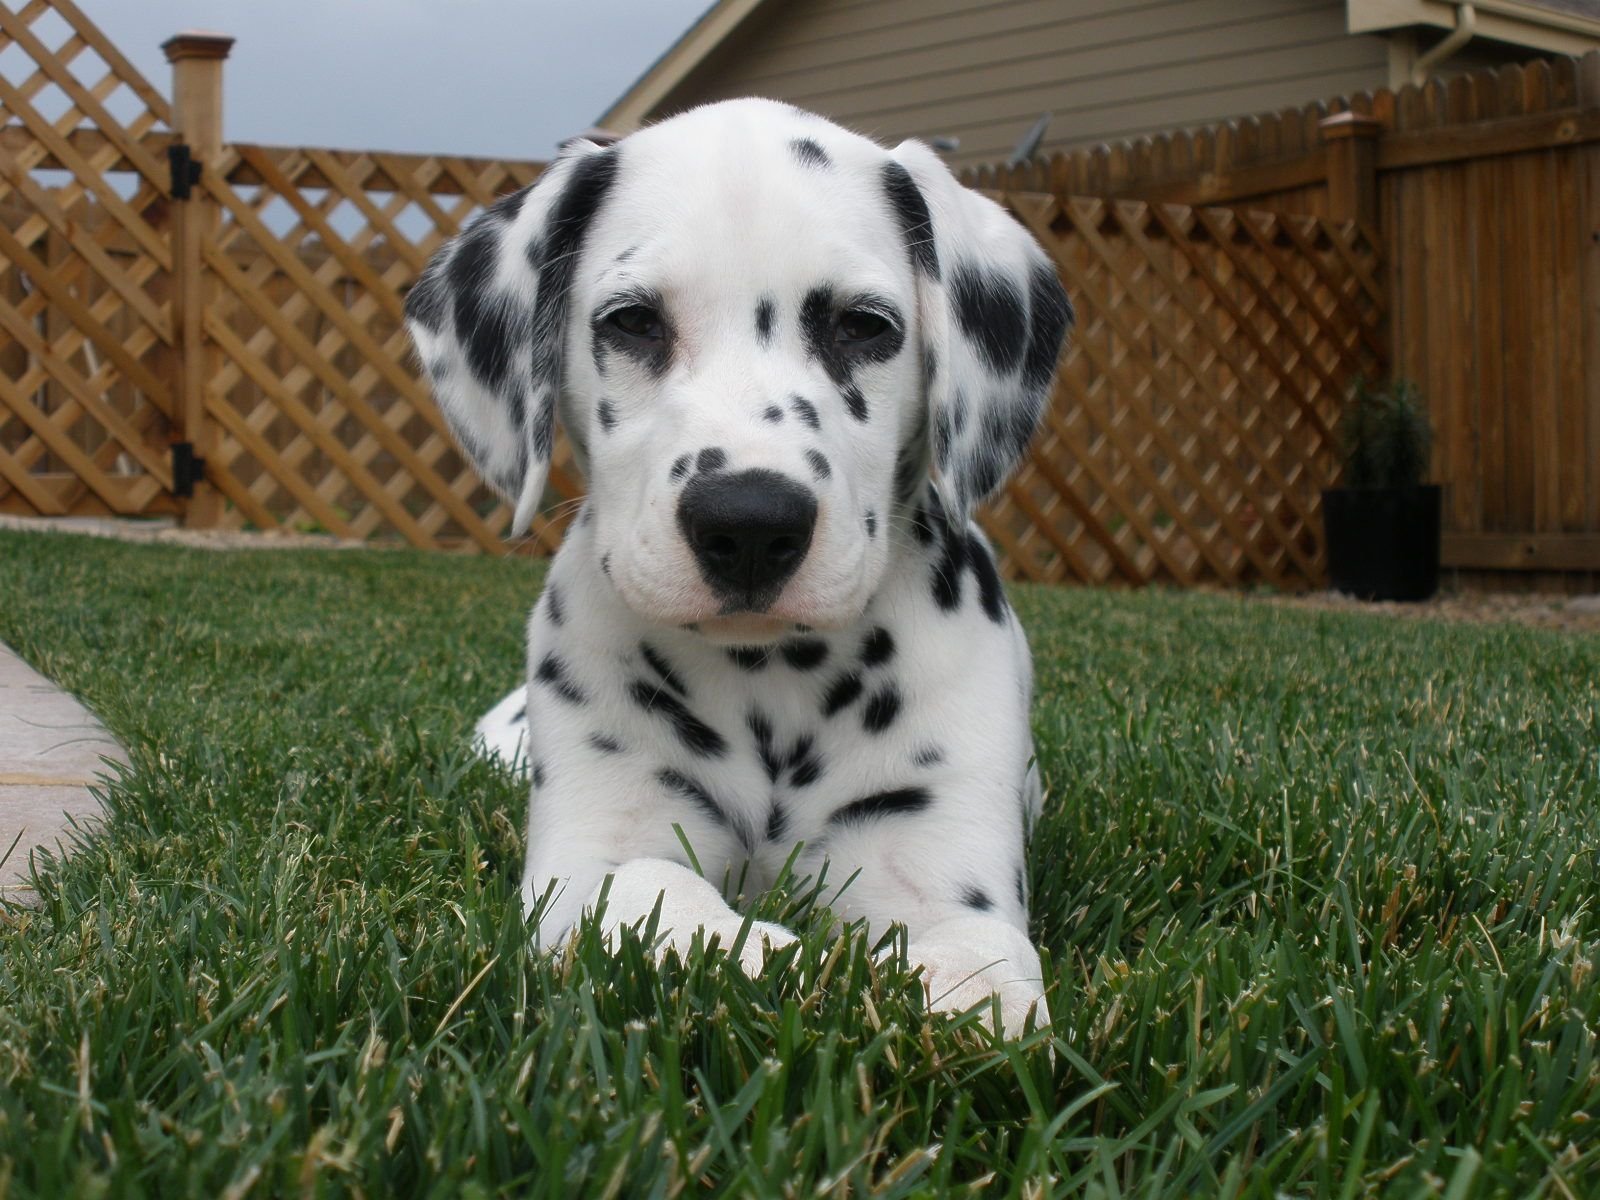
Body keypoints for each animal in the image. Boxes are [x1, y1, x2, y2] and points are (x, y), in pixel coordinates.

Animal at [406, 98, 1068, 1036]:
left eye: (864, 325)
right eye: (633, 321)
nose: (750, 522)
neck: (770, 679)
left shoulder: (938, 862)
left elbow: (977, 950)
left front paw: (957, 996)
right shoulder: (587, 862)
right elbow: (654, 888)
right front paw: (766, 957)